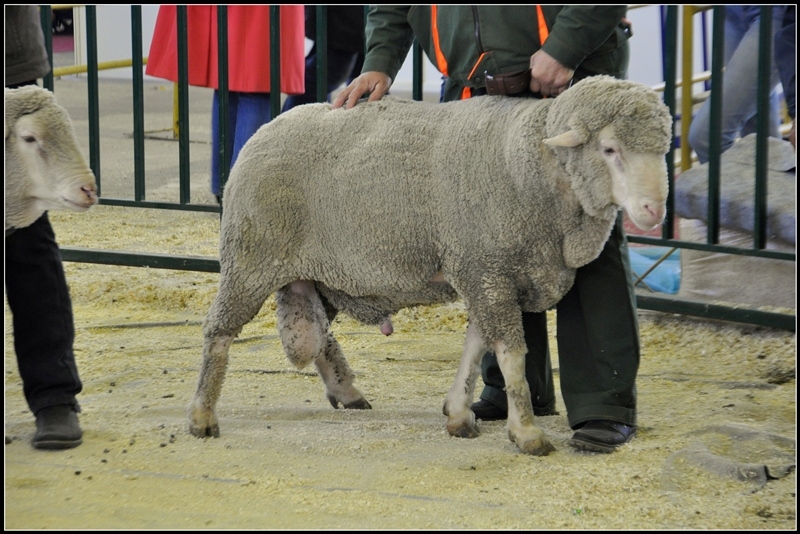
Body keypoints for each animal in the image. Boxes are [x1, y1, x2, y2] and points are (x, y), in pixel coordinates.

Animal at [189, 75, 676, 458]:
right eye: (609, 149)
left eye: (664, 148)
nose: (654, 210)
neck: (528, 163)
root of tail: (266, 128)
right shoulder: (487, 268)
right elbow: (510, 355)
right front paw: (527, 433)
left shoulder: (485, 270)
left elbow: (476, 345)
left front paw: (459, 414)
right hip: (251, 256)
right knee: (218, 333)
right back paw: (202, 416)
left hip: (315, 275)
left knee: (320, 334)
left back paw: (347, 392)